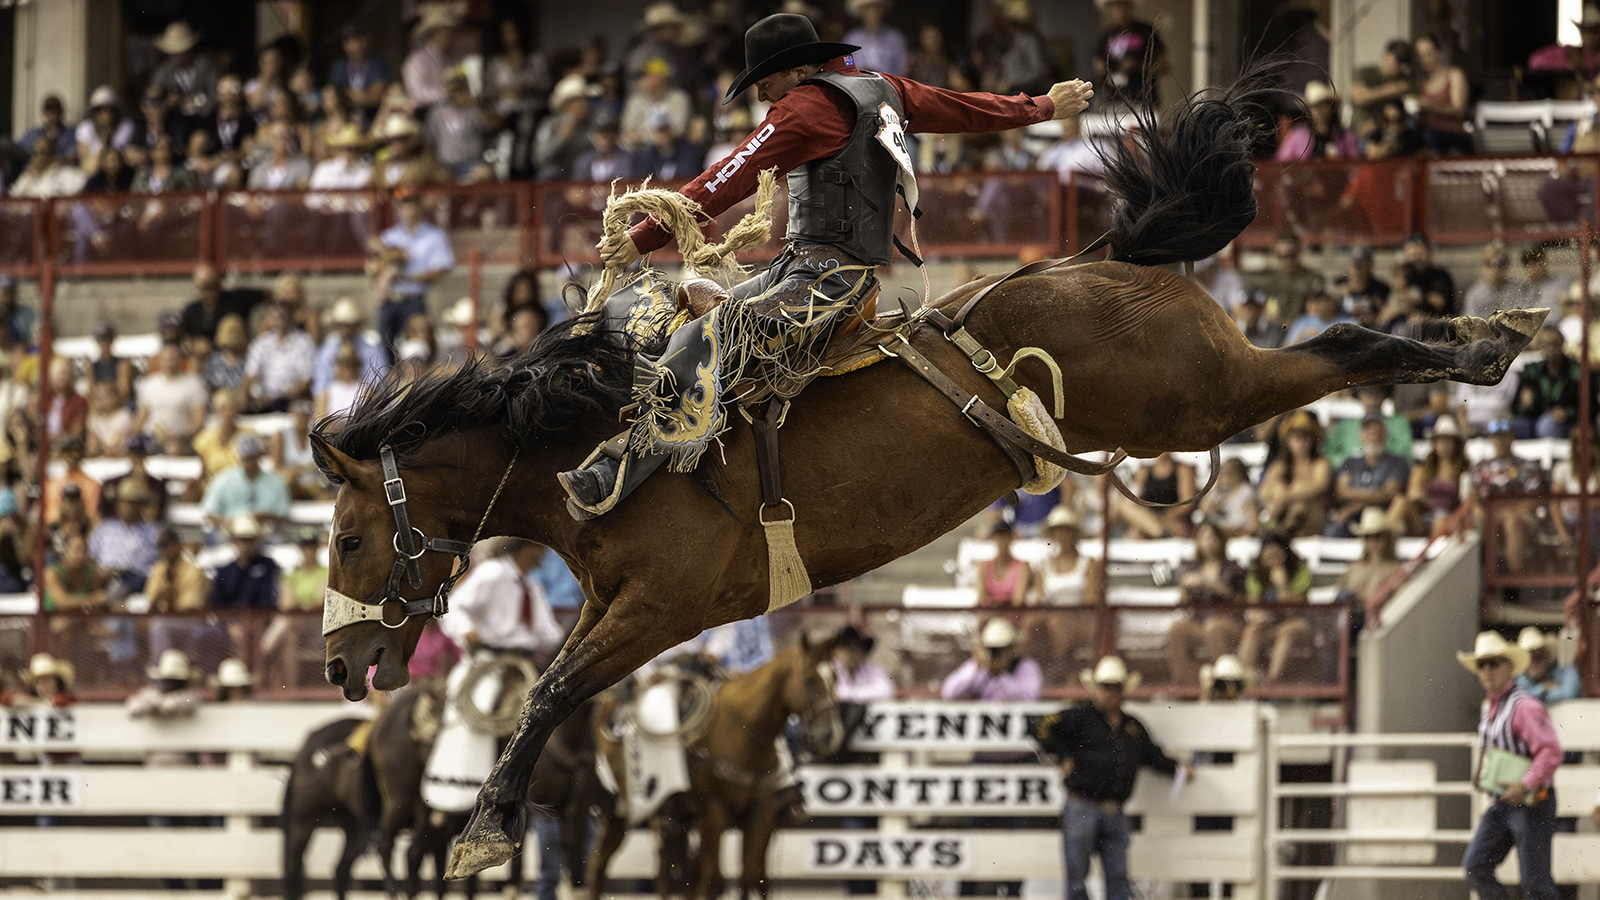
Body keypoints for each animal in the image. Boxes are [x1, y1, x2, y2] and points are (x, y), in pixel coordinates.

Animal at [585, 634, 838, 890]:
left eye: (835, 679)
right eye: (810, 680)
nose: (829, 736)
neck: (740, 730)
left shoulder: (762, 813)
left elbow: (752, 876)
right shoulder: (713, 814)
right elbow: (713, 880)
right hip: (617, 811)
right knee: (602, 865)